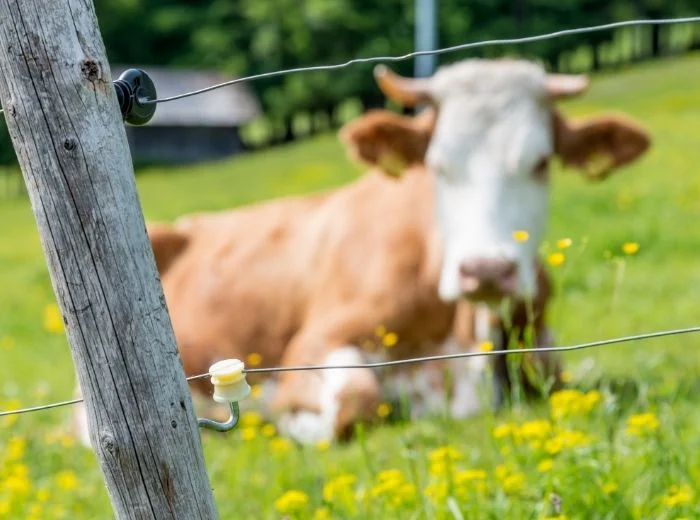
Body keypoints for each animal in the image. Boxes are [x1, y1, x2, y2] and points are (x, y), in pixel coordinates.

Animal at [72, 58, 650, 446]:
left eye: (541, 162)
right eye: (437, 164)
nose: (486, 270)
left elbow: (550, 367)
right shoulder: (312, 344)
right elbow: (356, 399)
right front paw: (293, 419)